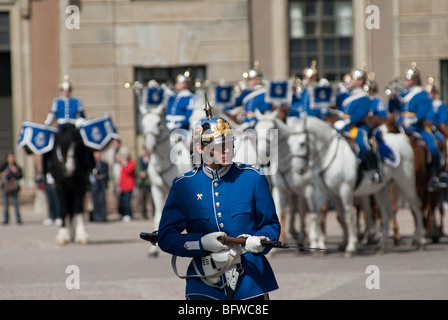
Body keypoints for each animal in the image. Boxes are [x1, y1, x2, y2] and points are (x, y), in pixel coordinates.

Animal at [288, 117, 426, 255]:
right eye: (290, 144)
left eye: (301, 143)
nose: (298, 170)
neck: (329, 155)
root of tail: (403, 139)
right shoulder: (326, 192)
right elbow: (317, 214)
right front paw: (320, 243)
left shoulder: (345, 190)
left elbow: (348, 216)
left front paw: (351, 246)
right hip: (381, 189)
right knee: (387, 213)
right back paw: (382, 245)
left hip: (406, 183)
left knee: (416, 206)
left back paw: (420, 240)